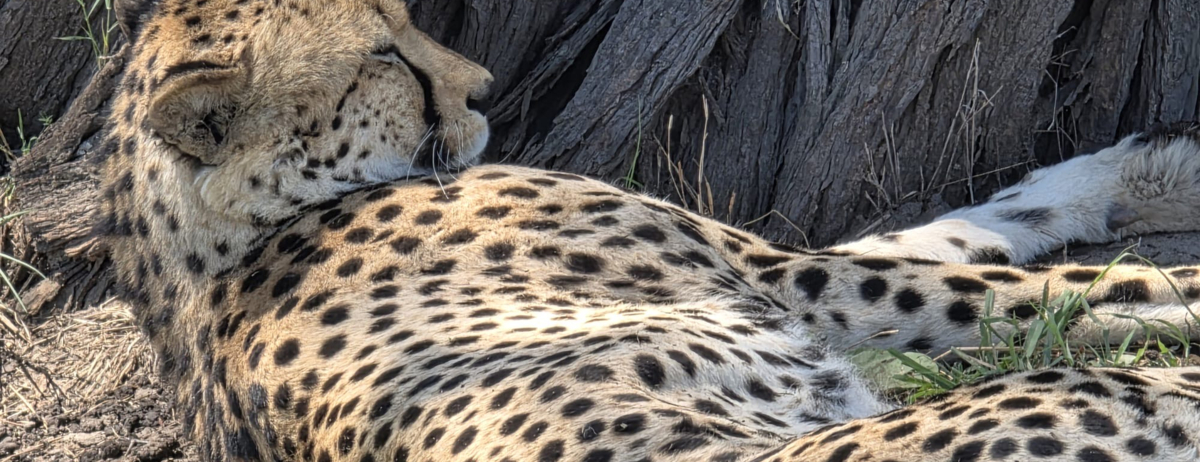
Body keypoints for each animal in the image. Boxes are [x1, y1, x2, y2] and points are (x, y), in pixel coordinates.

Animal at [94, 0, 1200, 460]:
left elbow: (983, 219)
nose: (486, 88)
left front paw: (1151, 170)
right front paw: (1174, 287)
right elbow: (1035, 284)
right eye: (383, 56)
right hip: (1079, 397)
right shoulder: (783, 280)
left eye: (403, 19)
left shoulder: (782, 272)